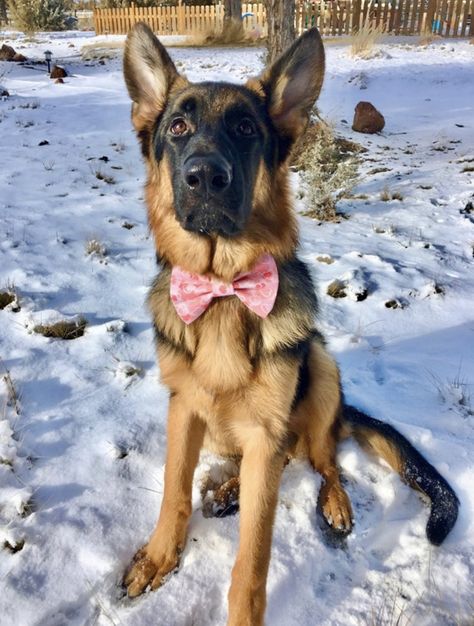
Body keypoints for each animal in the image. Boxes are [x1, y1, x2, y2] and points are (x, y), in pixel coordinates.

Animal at [122, 24, 460, 624]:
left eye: (245, 128)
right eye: (177, 127)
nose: (205, 177)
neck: (223, 290)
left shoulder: (265, 430)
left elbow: (253, 557)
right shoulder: (183, 410)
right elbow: (174, 491)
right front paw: (160, 556)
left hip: (320, 367)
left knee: (322, 458)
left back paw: (333, 500)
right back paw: (229, 488)